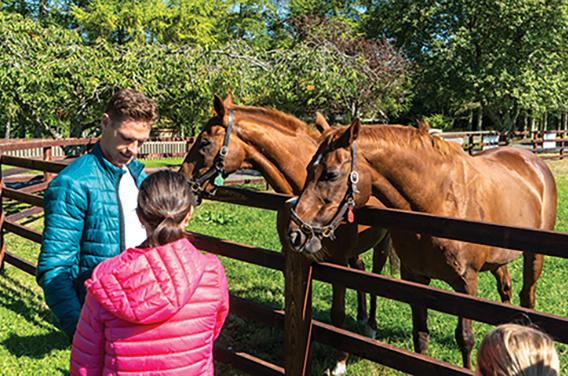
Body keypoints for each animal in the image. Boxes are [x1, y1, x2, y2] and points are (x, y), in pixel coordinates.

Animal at [180, 94, 392, 376]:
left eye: (204, 142)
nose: (181, 181)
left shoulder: (336, 264)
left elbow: (337, 314)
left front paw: (340, 363)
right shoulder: (291, 255)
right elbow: (291, 307)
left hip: (383, 245)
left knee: (375, 277)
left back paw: (370, 327)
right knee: (360, 268)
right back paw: (362, 315)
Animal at [286, 119, 556, 368]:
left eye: (331, 174)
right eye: (309, 168)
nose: (295, 233)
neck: (439, 203)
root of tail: (533, 160)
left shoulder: (466, 284)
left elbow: (465, 338)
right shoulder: (414, 280)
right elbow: (421, 336)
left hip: (534, 257)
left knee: (527, 297)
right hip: (499, 259)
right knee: (505, 290)